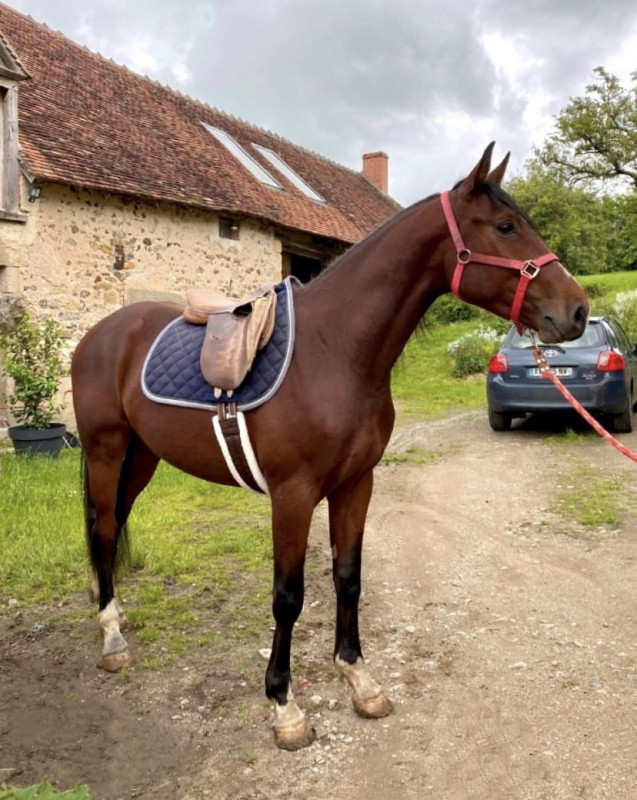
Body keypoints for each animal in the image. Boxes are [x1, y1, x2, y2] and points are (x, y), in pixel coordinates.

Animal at [69, 144, 588, 752]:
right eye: (506, 227)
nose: (577, 311)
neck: (333, 350)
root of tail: (99, 335)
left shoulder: (355, 484)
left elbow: (348, 576)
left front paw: (359, 678)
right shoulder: (292, 495)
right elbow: (288, 595)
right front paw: (284, 705)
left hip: (142, 456)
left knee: (112, 525)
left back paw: (112, 610)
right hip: (107, 449)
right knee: (105, 529)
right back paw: (111, 638)